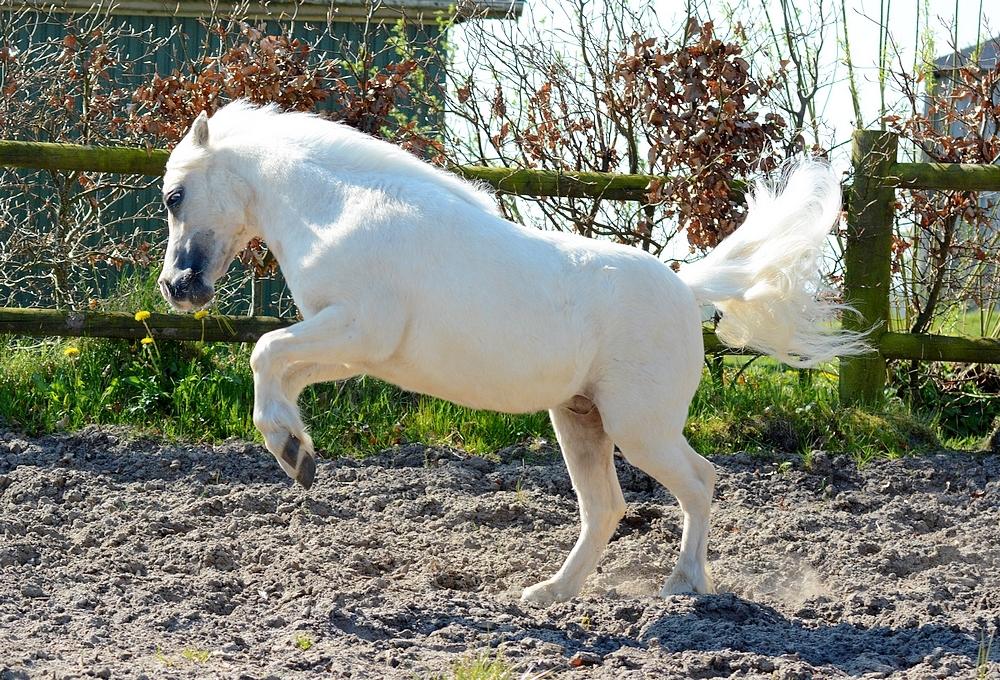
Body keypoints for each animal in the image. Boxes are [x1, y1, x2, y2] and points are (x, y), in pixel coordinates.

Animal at [160, 99, 864, 600]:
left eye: (173, 196)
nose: (176, 286)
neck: (338, 208)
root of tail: (687, 289)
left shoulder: (359, 329)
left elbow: (264, 350)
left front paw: (291, 453)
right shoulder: (352, 347)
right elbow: (276, 365)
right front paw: (297, 452)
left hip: (641, 427)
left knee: (698, 481)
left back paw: (684, 585)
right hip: (580, 420)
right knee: (607, 508)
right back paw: (548, 594)